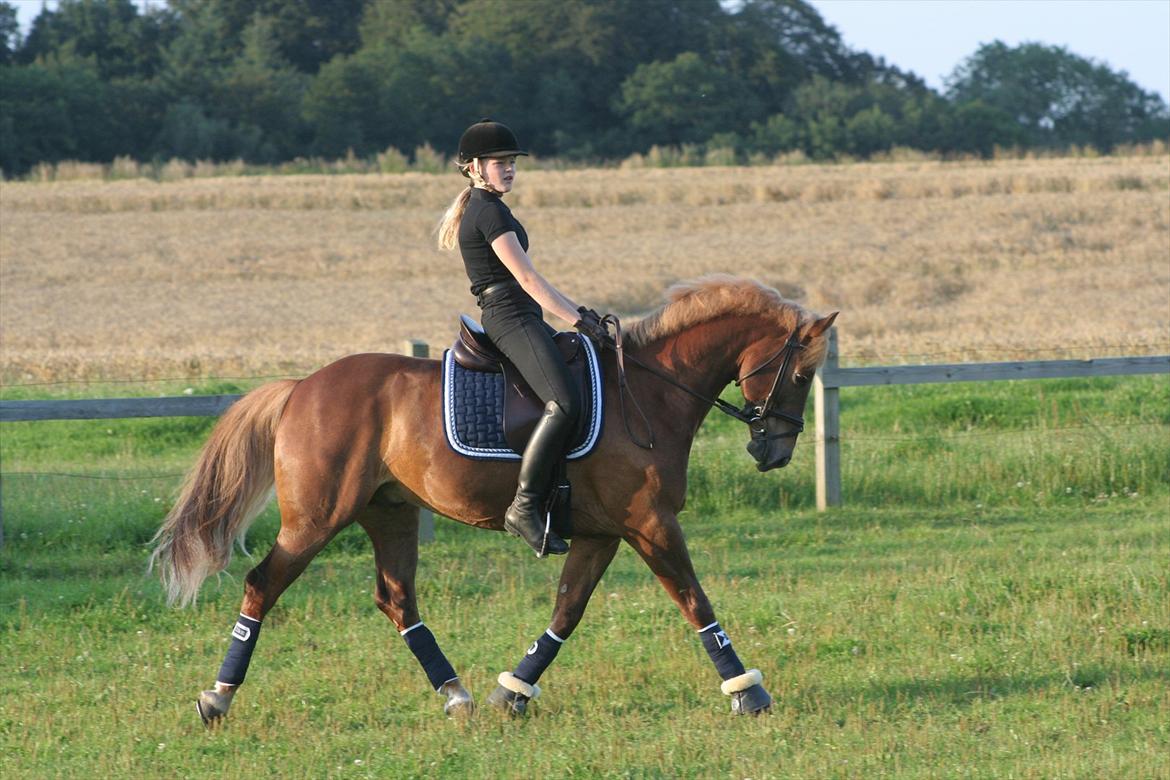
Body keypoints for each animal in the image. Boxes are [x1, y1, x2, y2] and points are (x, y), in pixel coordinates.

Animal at [148, 277, 842, 725]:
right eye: (801, 373)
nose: (774, 451)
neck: (649, 392)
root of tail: (300, 387)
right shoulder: (650, 524)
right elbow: (696, 600)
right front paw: (747, 692)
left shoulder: (603, 532)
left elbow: (567, 611)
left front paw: (514, 692)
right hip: (317, 518)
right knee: (263, 584)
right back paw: (217, 698)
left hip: (390, 512)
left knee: (397, 600)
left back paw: (457, 696)